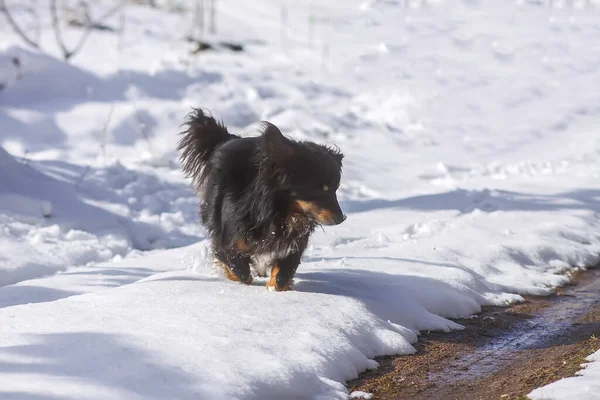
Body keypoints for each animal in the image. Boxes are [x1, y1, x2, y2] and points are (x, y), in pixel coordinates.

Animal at [177, 108, 346, 290]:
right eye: (319, 190)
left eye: (336, 189)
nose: (341, 218)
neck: (278, 213)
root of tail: (231, 139)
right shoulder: (227, 239)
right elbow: (239, 270)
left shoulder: (293, 245)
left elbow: (282, 274)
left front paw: (275, 289)